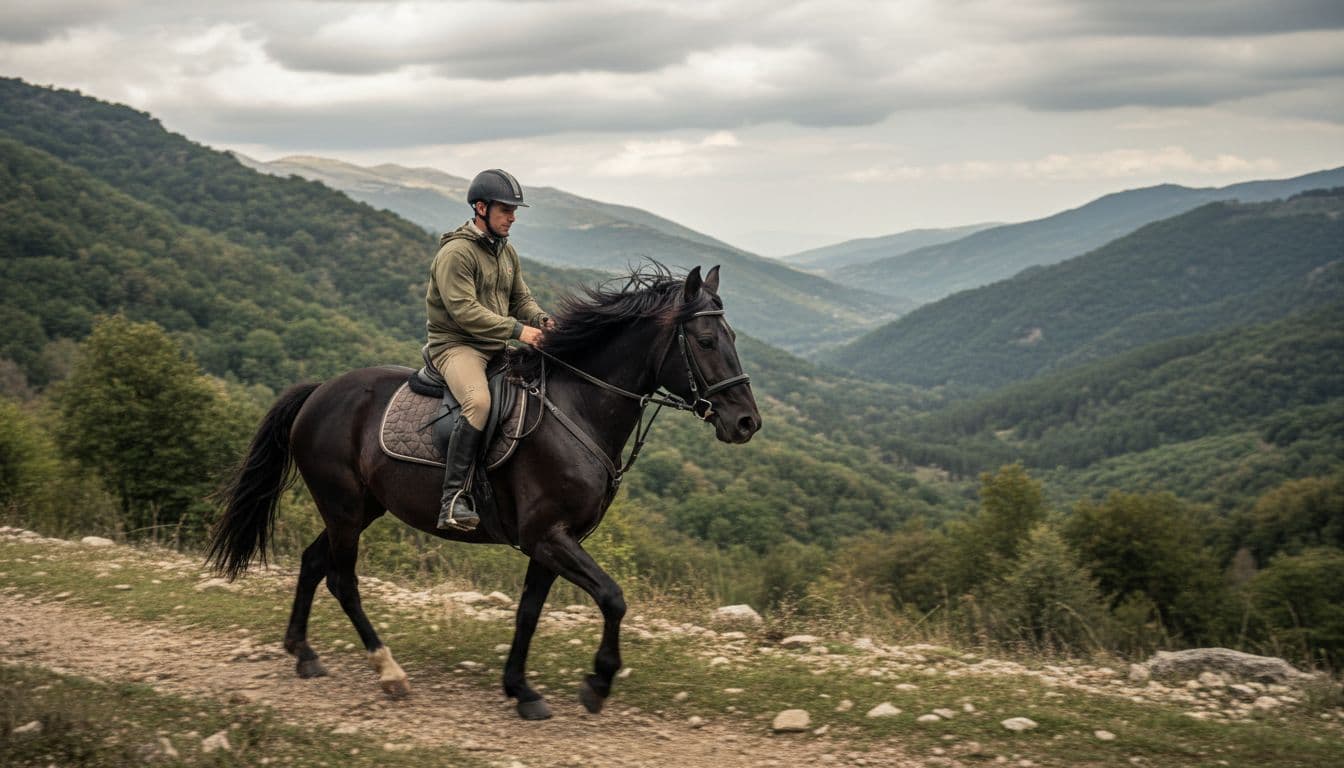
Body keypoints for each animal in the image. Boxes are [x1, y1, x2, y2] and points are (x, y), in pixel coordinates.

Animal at [207, 264, 760, 720]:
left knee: (311, 562)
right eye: (706, 340)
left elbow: (529, 612)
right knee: (342, 580)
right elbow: (612, 597)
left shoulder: (552, 541)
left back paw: (303, 653)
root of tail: (319, 392)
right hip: (343, 508)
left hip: (361, 509)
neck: (577, 409)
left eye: (731, 336)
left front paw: (521, 690)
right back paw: (389, 673)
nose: (746, 422)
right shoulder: (549, 536)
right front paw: (598, 683)